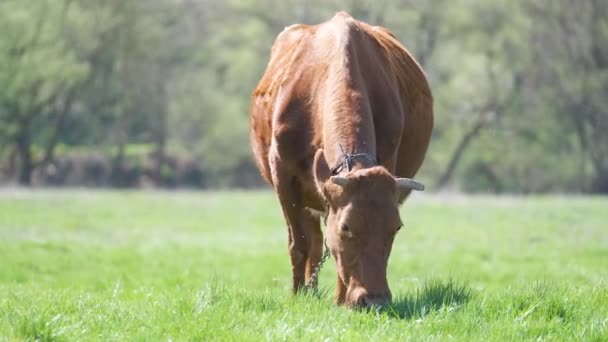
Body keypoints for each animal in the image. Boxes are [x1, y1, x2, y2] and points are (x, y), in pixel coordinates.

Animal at [248, 12, 432, 308]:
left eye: (396, 228)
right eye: (346, 227)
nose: (375, 300)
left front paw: (341, 301)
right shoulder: (284, 178)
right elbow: (299, 244)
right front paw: (297, 296)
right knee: (312, 241)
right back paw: (307, 291)